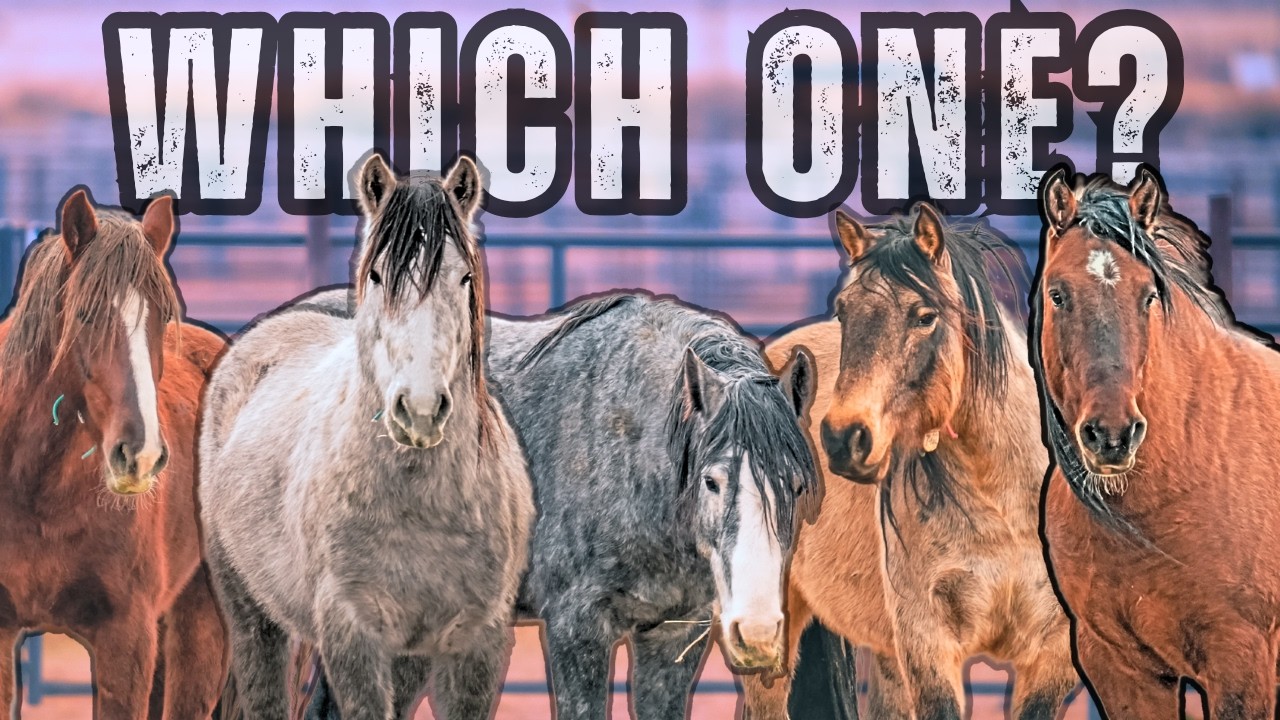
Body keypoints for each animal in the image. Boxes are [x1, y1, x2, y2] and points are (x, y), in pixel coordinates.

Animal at [198, 154, 535, 720]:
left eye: (465, 276)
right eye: (377, 274)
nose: (420, 410)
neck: (424, 507)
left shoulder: (475, 644)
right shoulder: (353, 636)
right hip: (251, 615)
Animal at [743, 203, 1078, 720]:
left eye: (925, 316)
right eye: (844, 311)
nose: (843, 438)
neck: (1002, 502)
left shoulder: (1051, 655)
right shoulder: (928, 644)